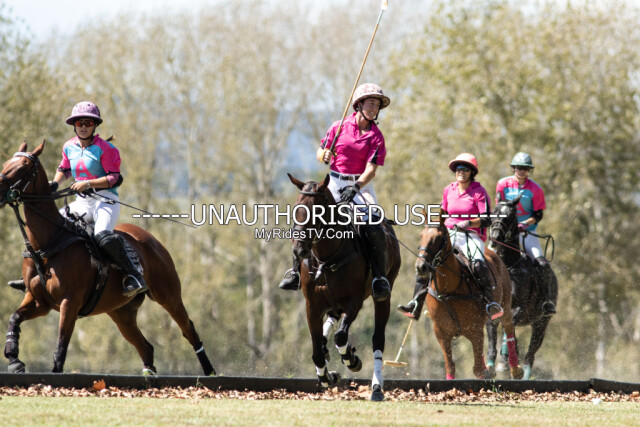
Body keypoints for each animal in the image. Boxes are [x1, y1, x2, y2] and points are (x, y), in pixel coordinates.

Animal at [0, 141, 215, 375]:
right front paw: (14, 359)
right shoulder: (39, 301)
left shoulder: (70, 302)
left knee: (188, 329)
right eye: (5, 164)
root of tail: (152, 240)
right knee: (145, 346)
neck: (47, 244)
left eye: (22, 167)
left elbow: (60, 346)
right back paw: (148, 374)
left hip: (167, 294)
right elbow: (14, 318)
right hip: (120, 311)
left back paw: (209, 371)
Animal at [287, 173, 401, 401]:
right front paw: (327, 376)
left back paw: (377, 388)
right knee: (330, 326)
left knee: (377, 338)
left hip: (384, 292)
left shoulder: (354, 301)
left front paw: (352, 359)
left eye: (316, 210)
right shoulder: (312, 305)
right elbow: (317, 350)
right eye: (296, 207)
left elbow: (341, 337)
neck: (326, 257)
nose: (298, 250)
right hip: (332, 302)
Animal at [414, 210, 523, 379]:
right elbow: (450, 367)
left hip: (505, 305)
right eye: (421, 236)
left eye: (439, 238)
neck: (448, 290)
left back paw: (515, 370)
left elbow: (477, 369)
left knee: (509, 328)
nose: (421, 267)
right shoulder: (441, 333)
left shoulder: (475, 330)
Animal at [486, 195, 558, 379]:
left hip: (541, 323)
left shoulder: (519, 308)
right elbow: (492, 335)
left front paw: (505, 362)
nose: (495, 238)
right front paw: (491, 366)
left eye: (511, 216)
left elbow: (508, 327)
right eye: (493, 213)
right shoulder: (492, 309)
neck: (508, 266)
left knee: (530, 356)